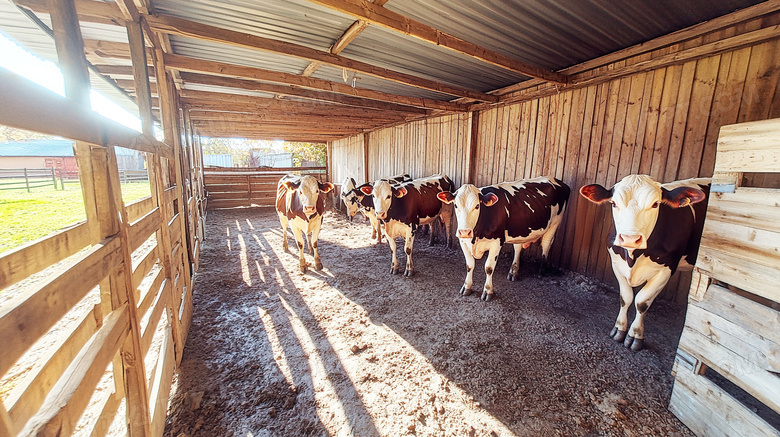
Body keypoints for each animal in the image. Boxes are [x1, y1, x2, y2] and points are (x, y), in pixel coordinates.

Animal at [438, 175, 568, 302]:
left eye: (477, 206)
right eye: (455, 205)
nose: (464, 231)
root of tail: (557, 180)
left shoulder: (496, 242)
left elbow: (489, 268)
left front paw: (488, 291)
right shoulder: (463, 241)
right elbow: (469, 265)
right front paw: (467, 287)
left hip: (555, 223)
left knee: (546, 244)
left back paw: (541, 271)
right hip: (518, 229)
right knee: (518, 247)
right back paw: (514, 272)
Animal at [580, 174, 712, 350]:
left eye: (655, 204)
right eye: (613, 203)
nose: (630, 238)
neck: (632, 256)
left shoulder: (666, 270)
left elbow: (642, 302)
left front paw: (635, 335)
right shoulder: (616, 263)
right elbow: (626, 297)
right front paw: (619, 329)